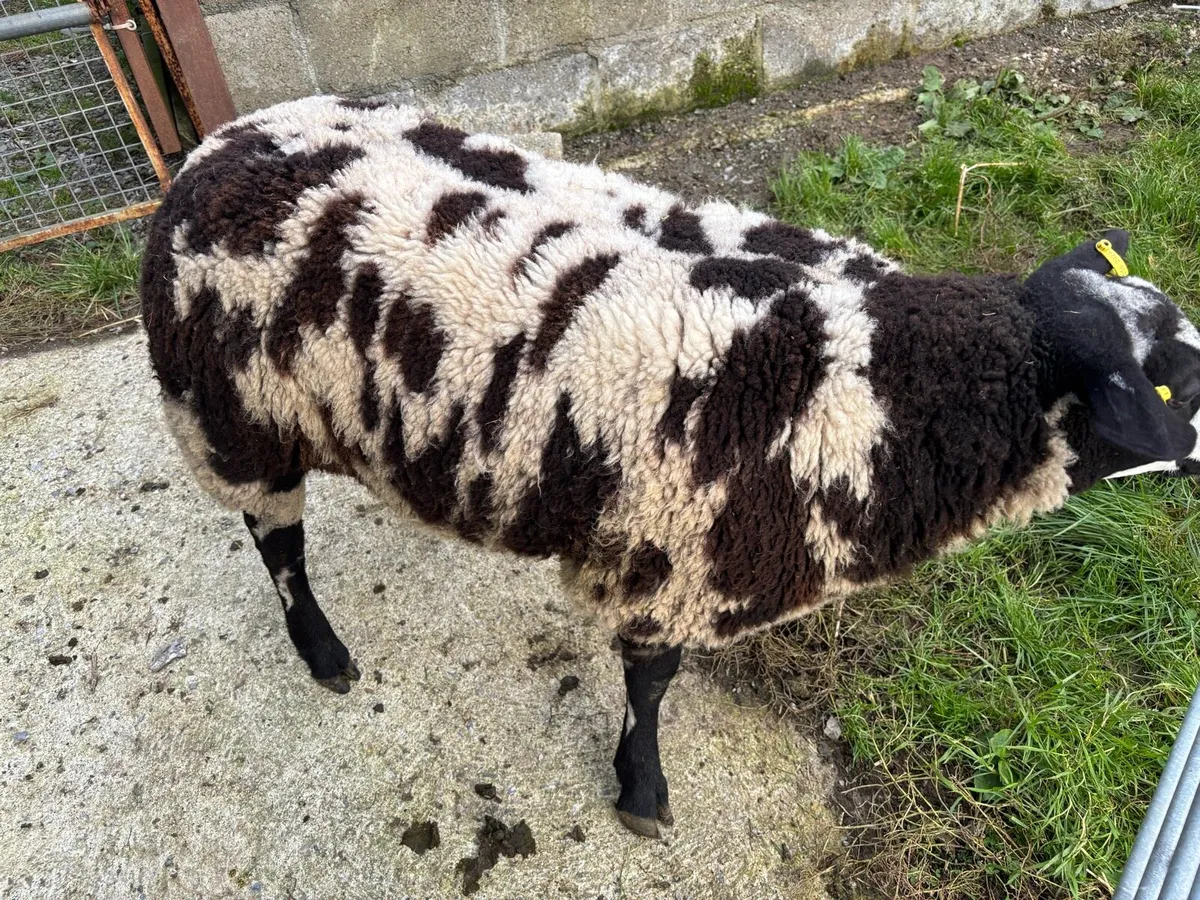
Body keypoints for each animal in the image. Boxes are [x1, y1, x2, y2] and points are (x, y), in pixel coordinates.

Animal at [140, 95, 1200, 838]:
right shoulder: (668, 556)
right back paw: (323, 654)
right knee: (275, 541)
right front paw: (641, 792)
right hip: (233, 416)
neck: (884, 382)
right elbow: (652, 686)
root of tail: (218, 140)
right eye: (1173, 388)